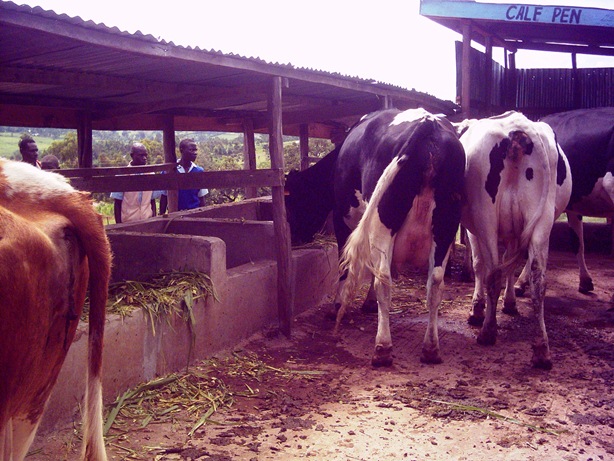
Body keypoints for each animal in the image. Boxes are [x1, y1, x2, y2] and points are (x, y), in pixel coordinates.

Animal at [332, 108, 466, 366]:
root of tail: (428, 123)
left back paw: (382, 348)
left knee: (383, 278)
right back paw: (431, 348)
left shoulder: (341, 217)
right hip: (446, 224)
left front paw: (339, 304)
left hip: (383, 218)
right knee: (435, 282)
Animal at [464, 109, 576, 368]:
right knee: (539, 280)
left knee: (493, 272)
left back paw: (488, 331)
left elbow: (480, 265)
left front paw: (477, 309)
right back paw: (542, 350)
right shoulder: (516, 232)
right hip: (543, 220)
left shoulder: (474, 230)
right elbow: (511, 264)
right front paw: (510, 302)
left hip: (485, 218)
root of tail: (519, 128)